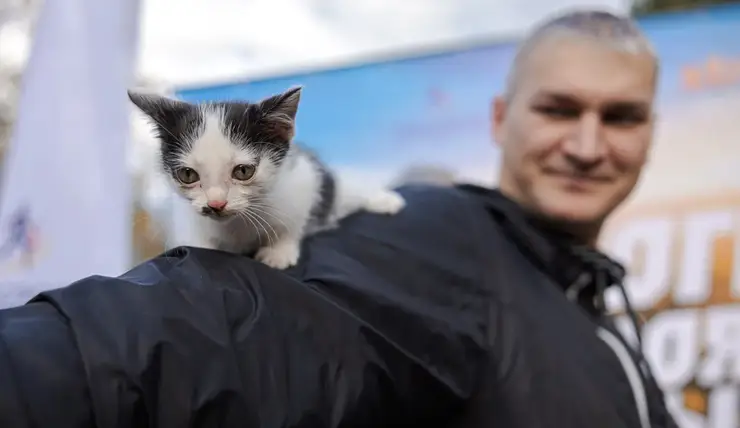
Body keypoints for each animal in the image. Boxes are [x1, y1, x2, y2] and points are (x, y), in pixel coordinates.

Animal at [127, 85, 404, 270]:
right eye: (187, 174)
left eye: (243, 171)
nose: (216, 204)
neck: (238, 225)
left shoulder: (303, 180)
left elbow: (293, 223)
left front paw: (278, 252)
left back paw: (386, 201)